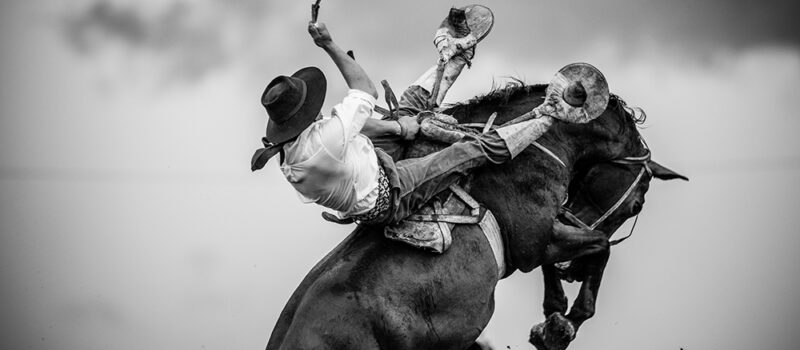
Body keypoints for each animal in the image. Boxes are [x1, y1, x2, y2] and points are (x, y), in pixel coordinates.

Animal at [266, 83, 684, 348]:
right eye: (636, 204)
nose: (574, 272)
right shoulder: (535, 241)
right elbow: (599, 247)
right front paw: (564, 325)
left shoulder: (547, 232)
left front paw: (552, 318)